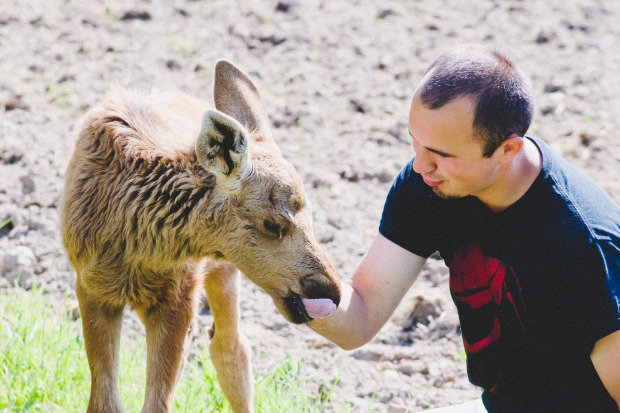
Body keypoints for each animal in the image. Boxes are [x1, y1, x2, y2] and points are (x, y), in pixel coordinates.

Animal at [62, 61, 342, 412]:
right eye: (272, 224)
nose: (332, 290)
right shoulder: (91, 288)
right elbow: (104, 402)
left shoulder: (179, 295)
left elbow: (156, 404)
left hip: (223, 269)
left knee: (230, 348)